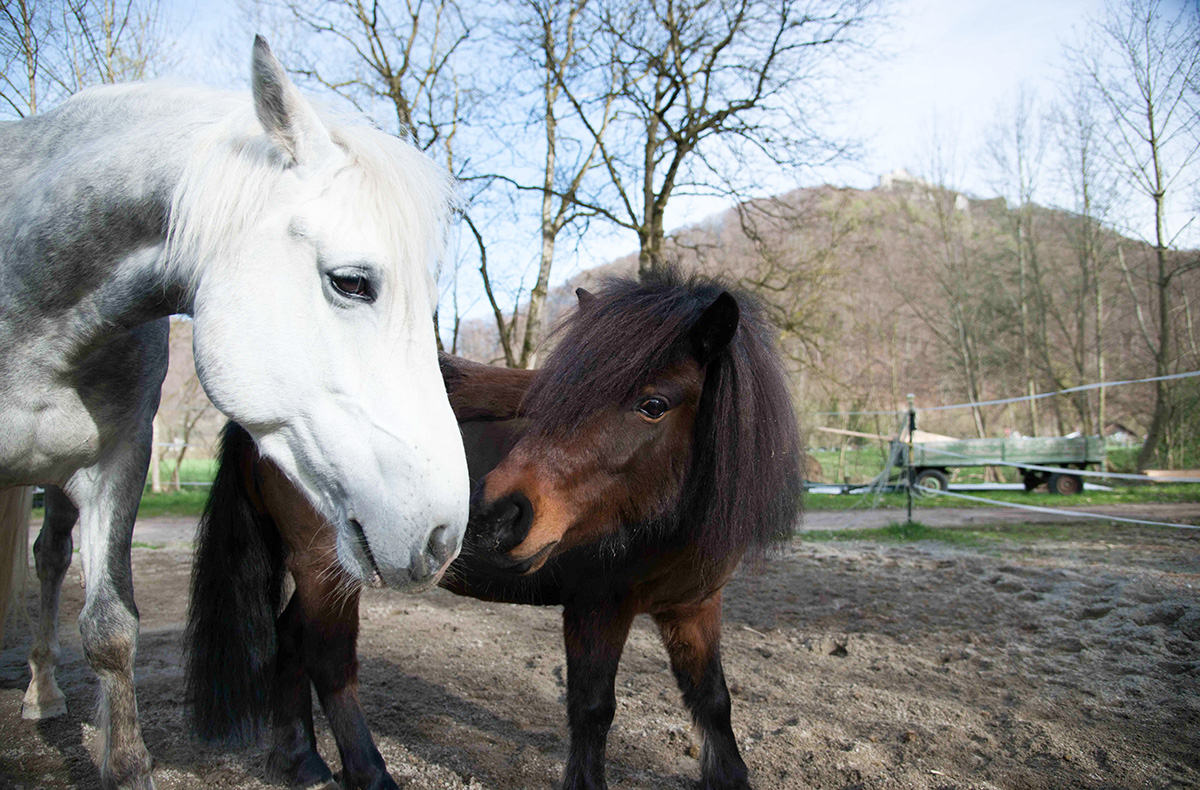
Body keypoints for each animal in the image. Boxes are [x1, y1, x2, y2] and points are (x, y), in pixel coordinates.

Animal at [0, 37, 470, 789]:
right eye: (351, 282)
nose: (443, 535)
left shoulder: (119, 460)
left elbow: (110, 628)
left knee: (48, 559)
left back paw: (42, 692)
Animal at [186, 269, 803, 789]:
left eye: (654, 404)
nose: (493, 514)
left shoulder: (694, 607)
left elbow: (713, 701)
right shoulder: (597, 606)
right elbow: (593, 709)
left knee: (290, 640)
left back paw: (301, 763)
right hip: (323, 567)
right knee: (330, 662)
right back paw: (368, 774)